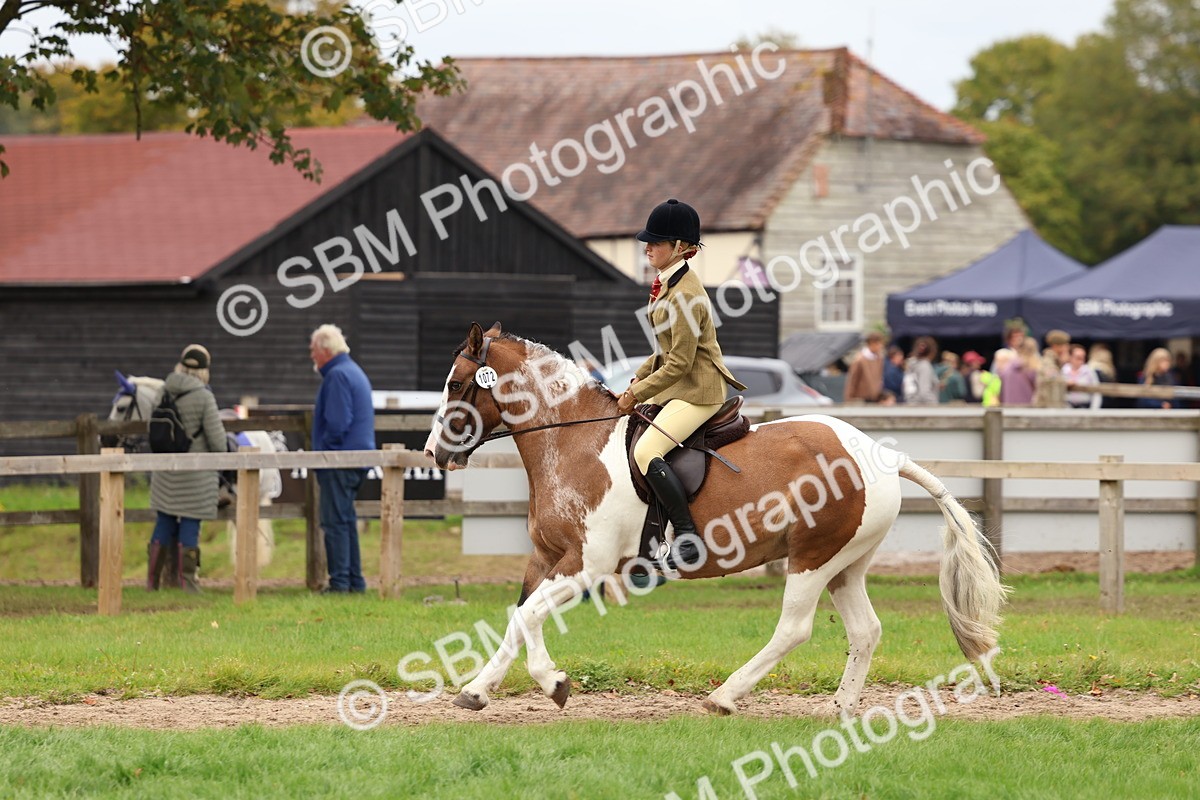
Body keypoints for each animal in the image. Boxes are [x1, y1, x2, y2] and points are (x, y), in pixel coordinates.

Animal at [424, 322, 1008, 716]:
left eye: (454, 385)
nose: (432, 453)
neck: (574, 440)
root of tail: (880, 455)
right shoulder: (548, 556)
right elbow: (519, 616)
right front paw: (479, 689)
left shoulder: (587, 564)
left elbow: (528, 617)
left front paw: (551, 682)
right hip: (846, 563)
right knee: (865, 631)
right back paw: (838, 707)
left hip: (812, 557)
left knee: (794, 628)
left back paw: (725, 696)